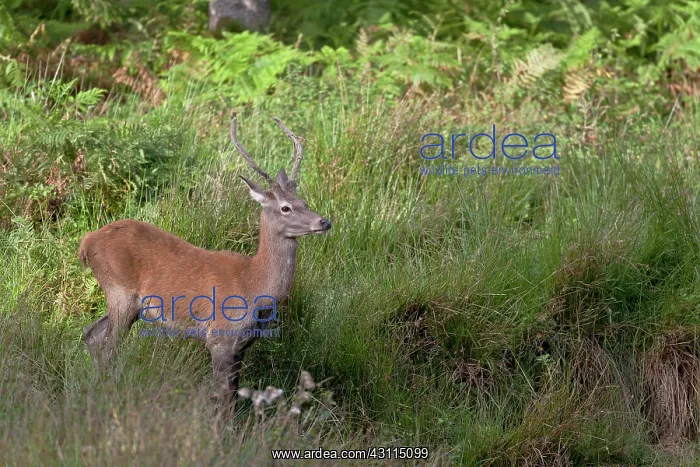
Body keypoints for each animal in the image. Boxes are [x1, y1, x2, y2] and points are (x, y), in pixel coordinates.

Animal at [78, 116, 331, 415]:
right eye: (285, 208)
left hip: (129, 304)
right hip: (119, 291)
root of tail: (86, 242)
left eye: (304, 201)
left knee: (92, 335)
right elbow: (223, 400)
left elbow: (233, 395)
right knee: (108, 345)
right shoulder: (219, 337)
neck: (254, 284)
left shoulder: (241, 346)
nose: (324, 221)